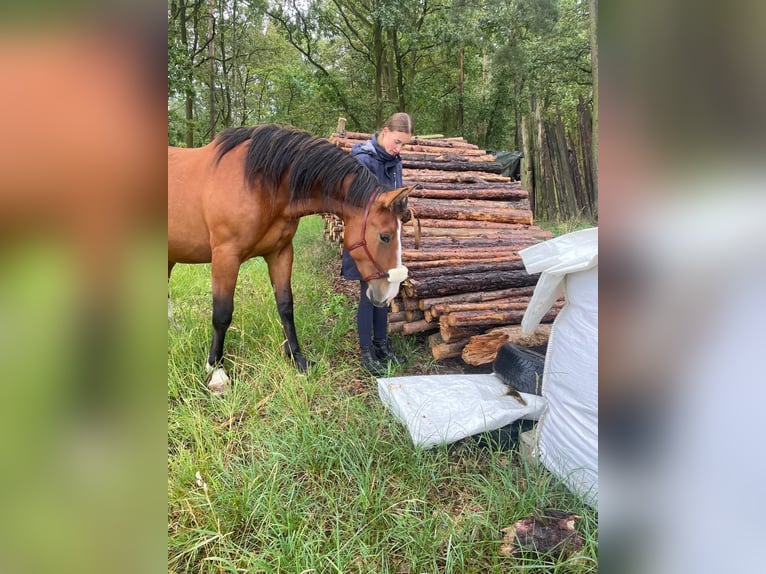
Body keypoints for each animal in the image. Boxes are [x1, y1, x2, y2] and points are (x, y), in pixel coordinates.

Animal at [170, 125, 414, 396]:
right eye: (385, 236)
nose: (389, 292)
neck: (258, 184)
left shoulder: (281, 253)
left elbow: (286, 306)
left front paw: (297, 358)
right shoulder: (226, 256)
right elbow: (222, 314)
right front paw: (217, 371)